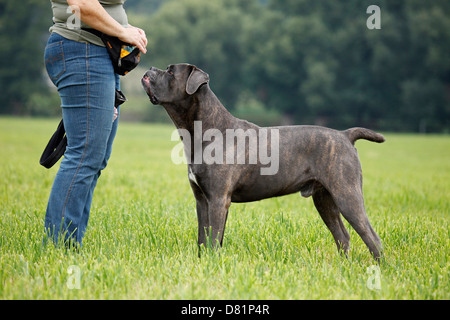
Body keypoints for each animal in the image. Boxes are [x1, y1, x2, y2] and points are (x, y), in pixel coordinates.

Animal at [142, 63, 384, 260]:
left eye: (171, 72)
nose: (149, 69)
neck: (206, 130)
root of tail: (345, 135)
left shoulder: (218, 199)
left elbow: (213, 240)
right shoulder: (202, 200)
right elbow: (204, 238)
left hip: (347, 194)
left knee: (372, 237)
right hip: (325, 199)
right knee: (343, 236)